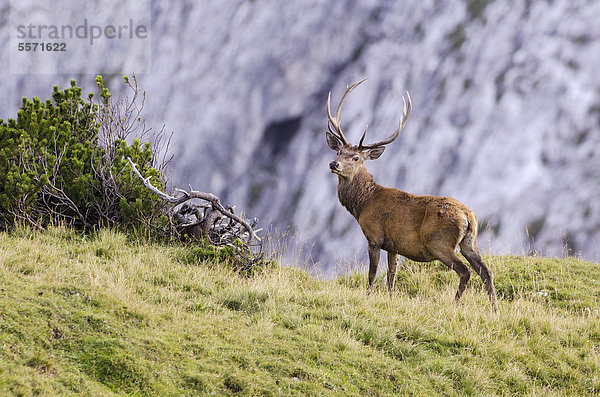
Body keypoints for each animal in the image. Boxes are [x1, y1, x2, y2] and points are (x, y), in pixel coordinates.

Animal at [326, 79, 500, 310]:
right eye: (338, 152)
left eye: (356, 158)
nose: (333, 164)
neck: (362, 205)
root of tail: (469, 217)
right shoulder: (393, 245)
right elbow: (391, 275)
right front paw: (390, 299)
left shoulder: (374, 236)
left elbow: (372, 274)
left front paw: (368, 297)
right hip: (470, 242)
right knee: (486, 271)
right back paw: (495, 309)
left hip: (440, 243)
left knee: (465, 271)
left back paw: (455, 303)